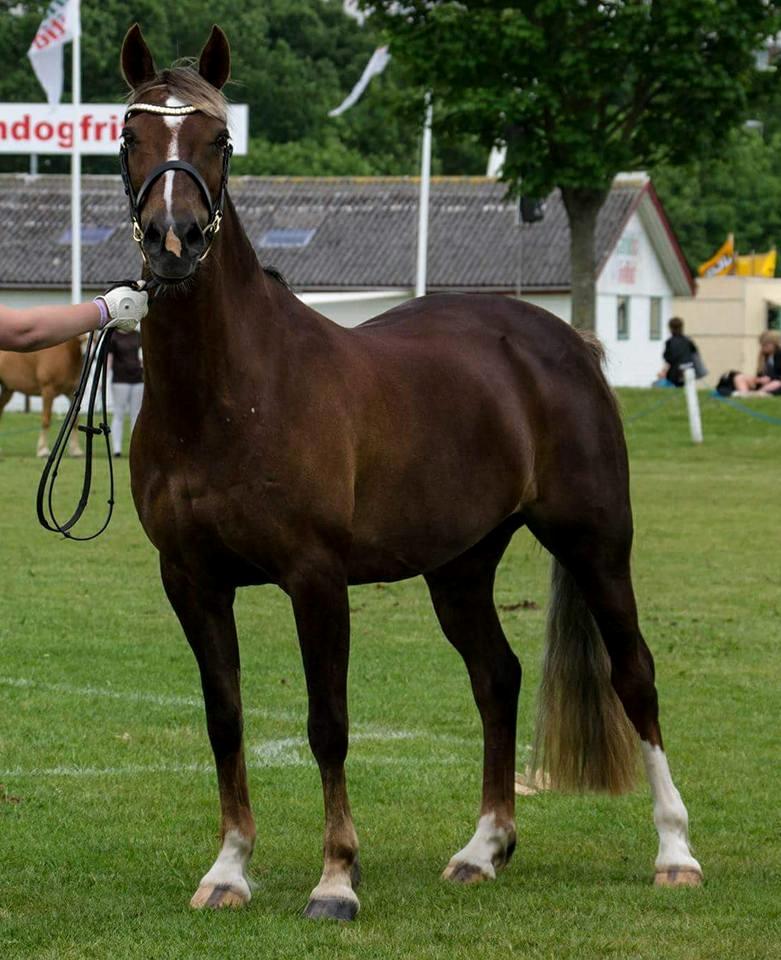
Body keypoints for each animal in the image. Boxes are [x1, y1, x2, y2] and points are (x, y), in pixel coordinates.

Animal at [120, 24, 700, 924]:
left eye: (218, 140)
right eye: (129, 135)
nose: (171, 240)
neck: (231, 390)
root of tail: (564, 341)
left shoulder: (314, 579)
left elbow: (327, 723)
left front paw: (335, 878)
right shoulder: (191, 580)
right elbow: (224, 718)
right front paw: (229, 868)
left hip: (596, 544)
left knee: (633, 675)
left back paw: (674, 852)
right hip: (460, 567)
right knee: (497, 678)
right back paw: (482, 849)